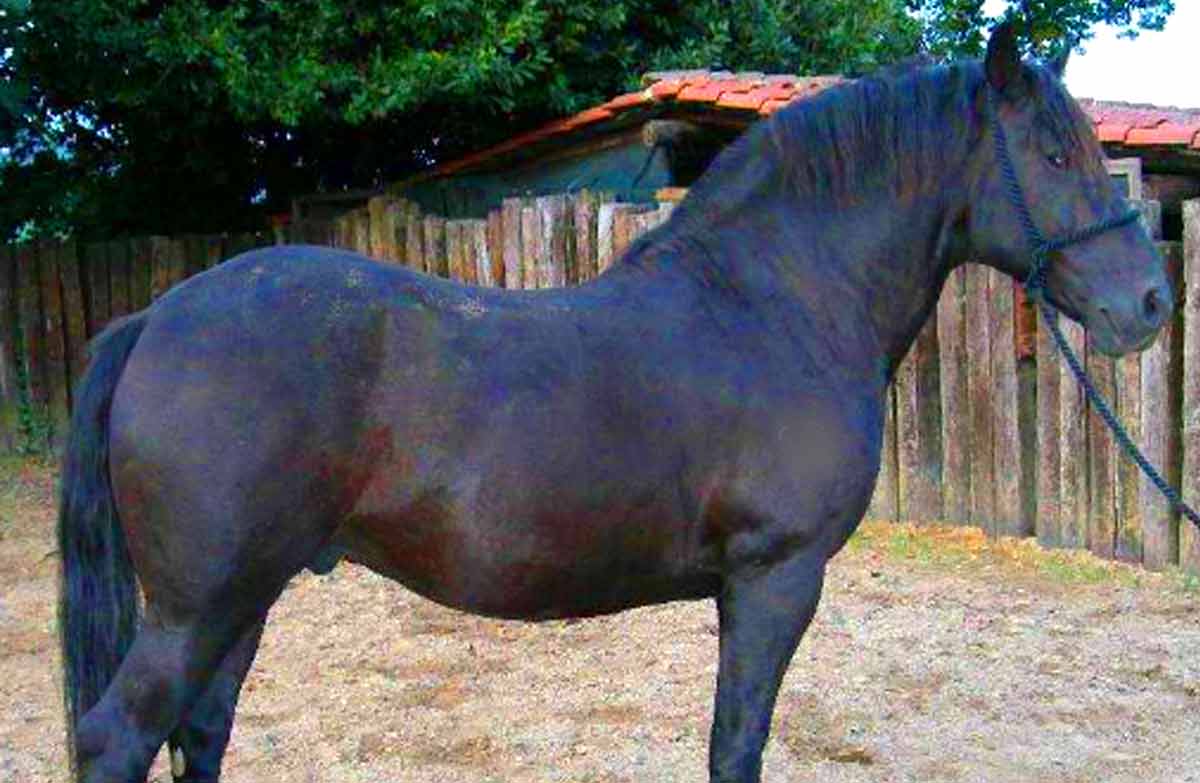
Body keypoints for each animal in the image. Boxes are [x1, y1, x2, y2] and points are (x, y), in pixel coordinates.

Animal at [57, 22, 1171, 783]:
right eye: (1057, 156)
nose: (1151, 303)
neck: (779, 303)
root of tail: (157, 316)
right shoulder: (776, 578)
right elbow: (736, 746)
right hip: (199, 605)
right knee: (119, 738)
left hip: (243, 598)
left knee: (199, 733)